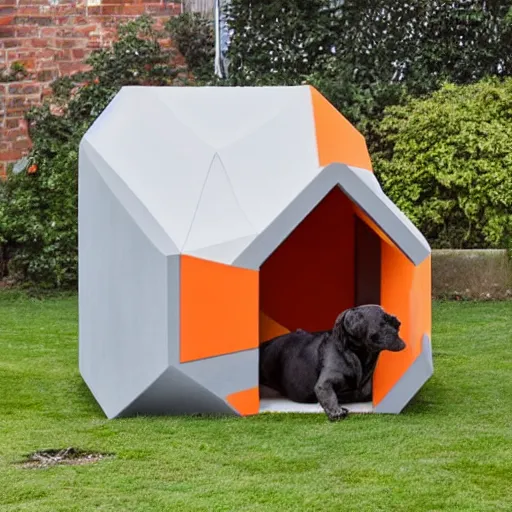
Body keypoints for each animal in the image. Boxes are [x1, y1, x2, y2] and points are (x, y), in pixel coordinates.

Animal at [258, 304, 406, 420]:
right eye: (384, 321)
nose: (398, 321)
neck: (358, 355)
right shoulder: (324, 384)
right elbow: (331, 396)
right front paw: (337, 411)